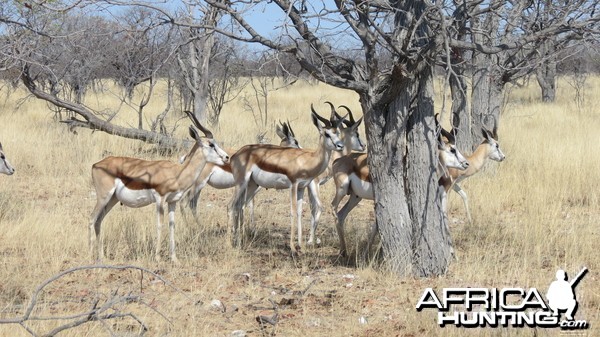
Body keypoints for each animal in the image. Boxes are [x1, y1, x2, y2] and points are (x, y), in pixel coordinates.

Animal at [88, 111, 229, 264]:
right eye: (211, 144)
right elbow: (160, 224)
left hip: (112, 199)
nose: (227, 157)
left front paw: (174, 258)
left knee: (99, 221)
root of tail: (96, 164)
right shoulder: (160, 199)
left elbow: (172, 225)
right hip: (104, 197)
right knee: (91, 218)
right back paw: (91, 257)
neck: (176, 172)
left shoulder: (172, 201)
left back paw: (102, 257)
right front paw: (157, 257)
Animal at [229, 106, 344, 251]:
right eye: (327, 134)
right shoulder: (293, 185)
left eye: (337, 132)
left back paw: (239, 242)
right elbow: (293, 211)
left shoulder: (301, 187)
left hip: (252, 185)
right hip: (241, 183)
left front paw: (301, 246)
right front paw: (293, 248)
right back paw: (230, 243)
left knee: (240, 206)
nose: (340, 146)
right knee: (231, 205)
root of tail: (236, 154)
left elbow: (300, 213)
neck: (306, 160)